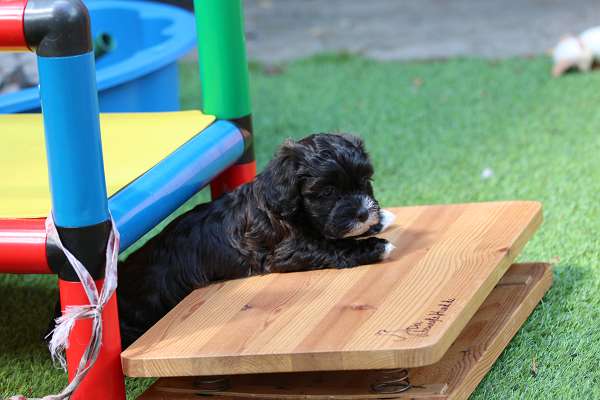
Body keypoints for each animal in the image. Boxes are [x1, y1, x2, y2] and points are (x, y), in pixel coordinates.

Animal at [116, 133, 396, 348]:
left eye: (365, 182)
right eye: (327, 191)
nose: (362, 213)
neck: (286, 206)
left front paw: (380, 218)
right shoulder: (286, 251)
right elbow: (329, 245)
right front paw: (377, 245)